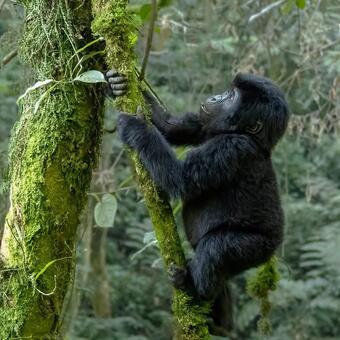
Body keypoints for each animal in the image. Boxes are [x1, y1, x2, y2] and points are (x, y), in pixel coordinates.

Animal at [107, 70, 290, 334]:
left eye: (231, 97)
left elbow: (179, 178)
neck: (248, 136)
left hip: (258, 247)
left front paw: (136, 127)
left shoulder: (232, 148)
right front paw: (115, 84)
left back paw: (194, 290)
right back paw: (220, 321)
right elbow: (171, 126)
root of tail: (273, 247)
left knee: (217, 248)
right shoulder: (205, 127)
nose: (215, 97)